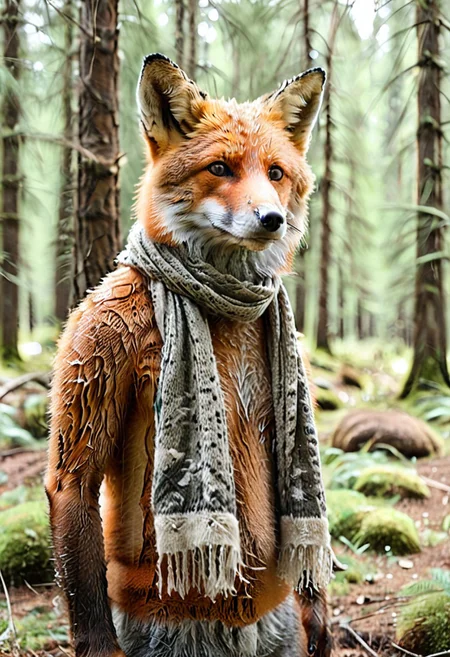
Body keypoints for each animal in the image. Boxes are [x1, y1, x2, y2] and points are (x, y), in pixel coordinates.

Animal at [46, 54, 331, 657]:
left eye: (275, 173)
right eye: (220, 168)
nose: (271, 219)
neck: (225, 305)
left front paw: (319, 614)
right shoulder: (96, 339)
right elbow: (76, 482)